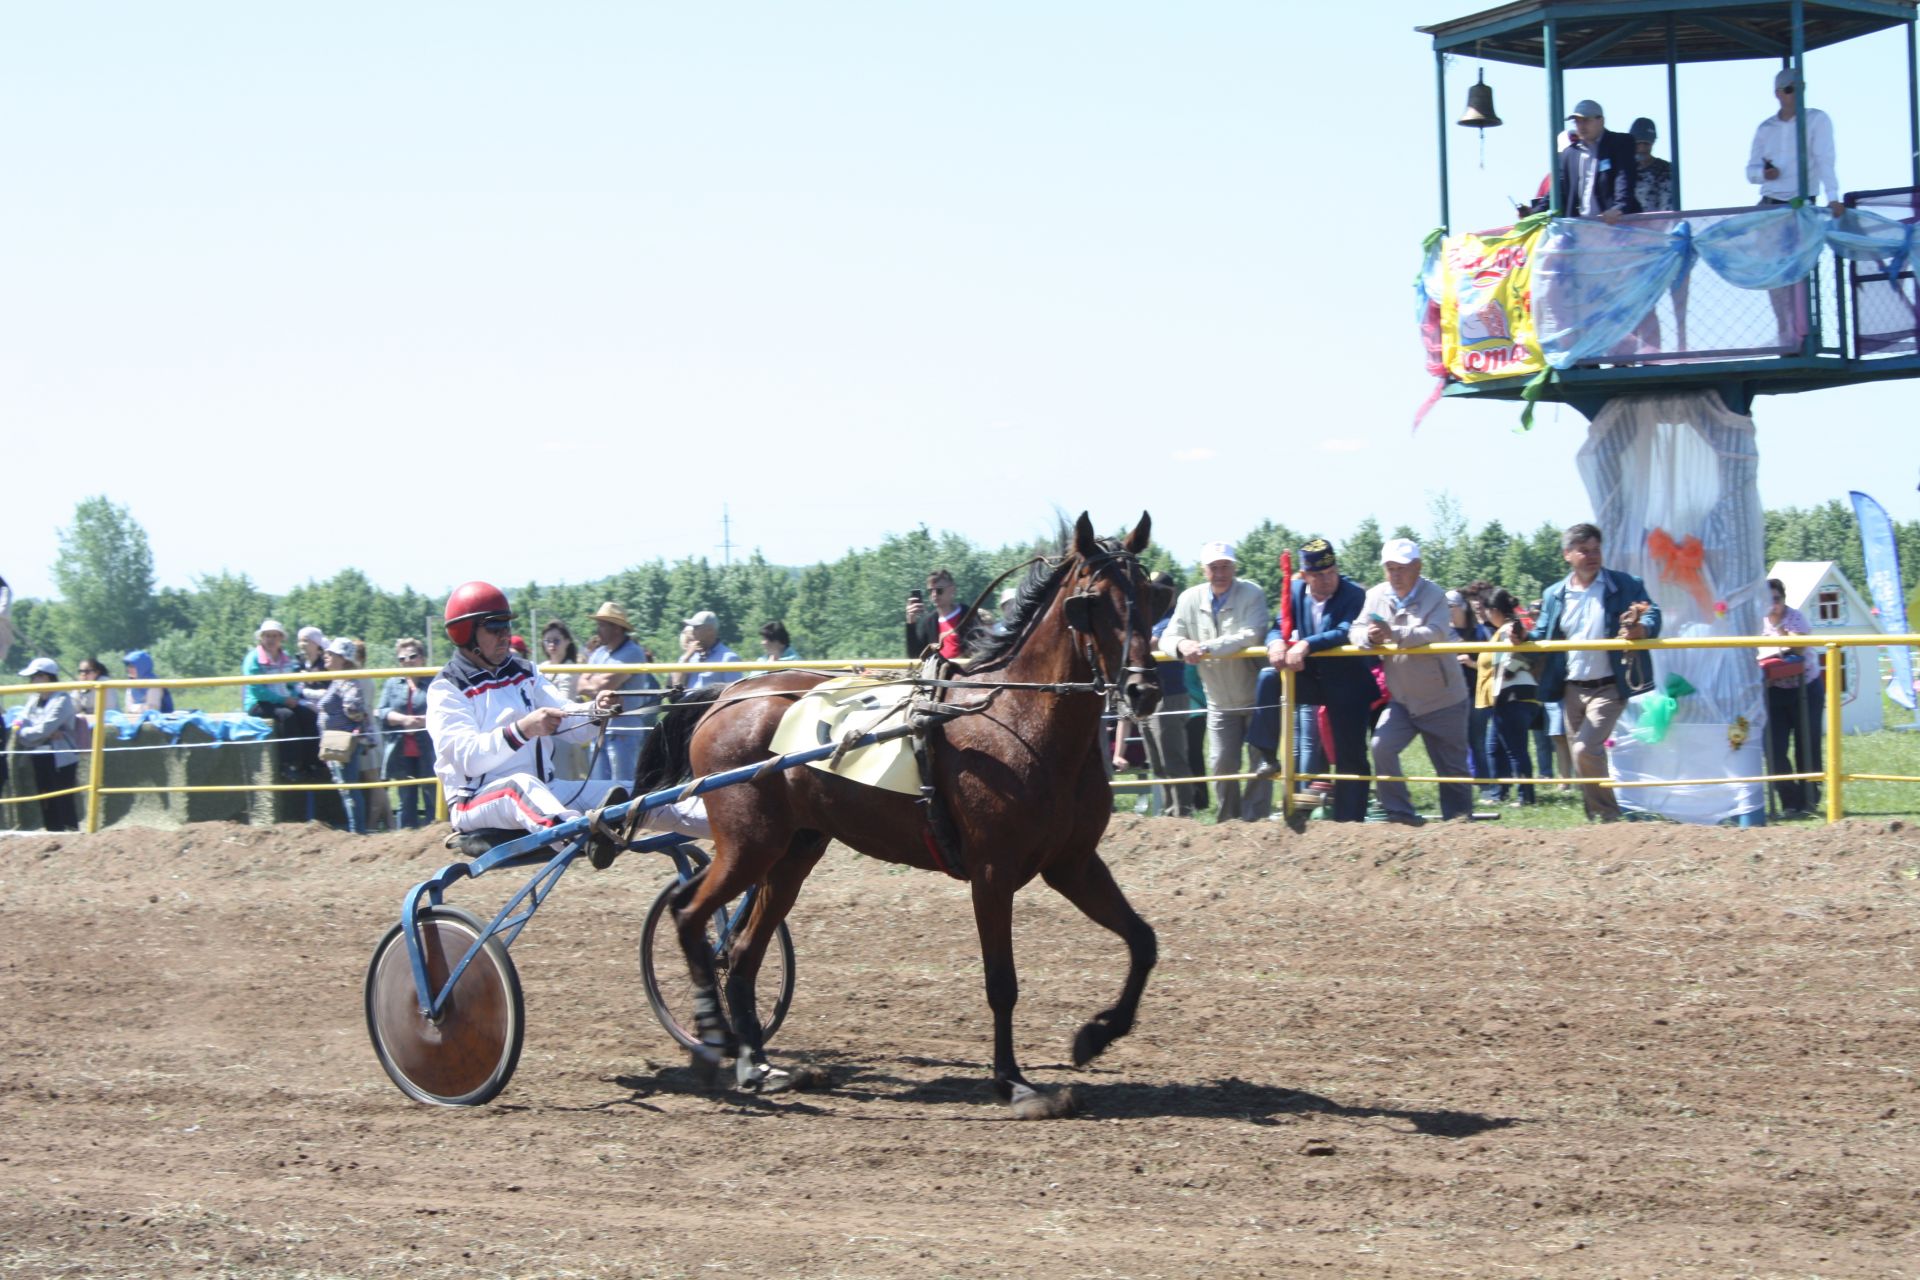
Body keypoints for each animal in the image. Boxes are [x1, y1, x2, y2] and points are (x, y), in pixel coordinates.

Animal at [629, 514, 1167, 1113]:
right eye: (1091, 603)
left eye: (1152, 594)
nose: (1143, 689)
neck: (1016, 720)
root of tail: (725, 697)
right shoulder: (993, 872)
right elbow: (1001, 982)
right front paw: (1014, 1081)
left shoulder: (1072, 864)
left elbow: (1143, 941)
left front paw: (1094, 1035)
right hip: (749, 844)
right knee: (689, 914)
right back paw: (712, 1040)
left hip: (793, 851)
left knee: (742, 952)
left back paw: (758, 1065)